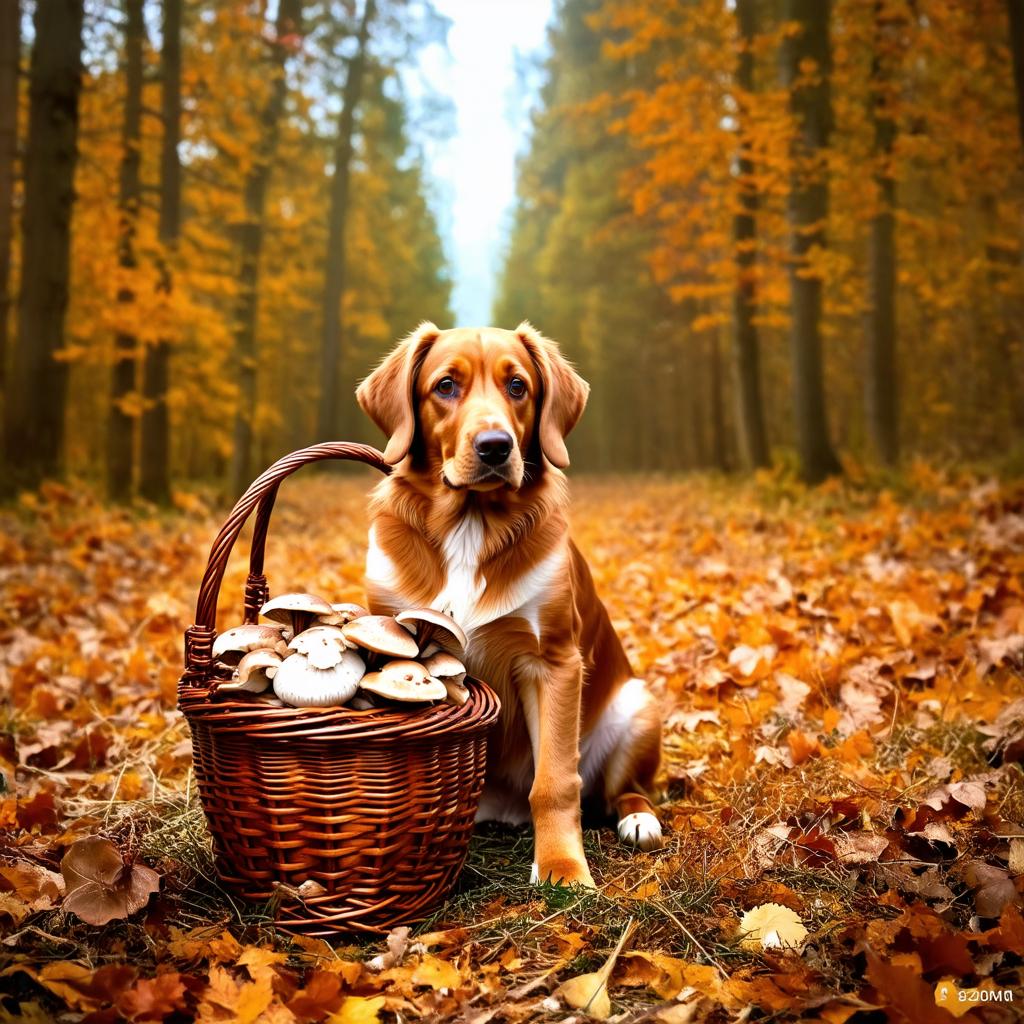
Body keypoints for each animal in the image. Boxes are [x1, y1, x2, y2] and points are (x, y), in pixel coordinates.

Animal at [358, 321, 663, 888]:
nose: (496, 447)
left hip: (638, 707)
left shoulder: (553, 661)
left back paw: (639, 819)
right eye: (446, 386)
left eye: (518, 386)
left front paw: (564, 866)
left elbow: (556, 782)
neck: (469, 525)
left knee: (619, 791)